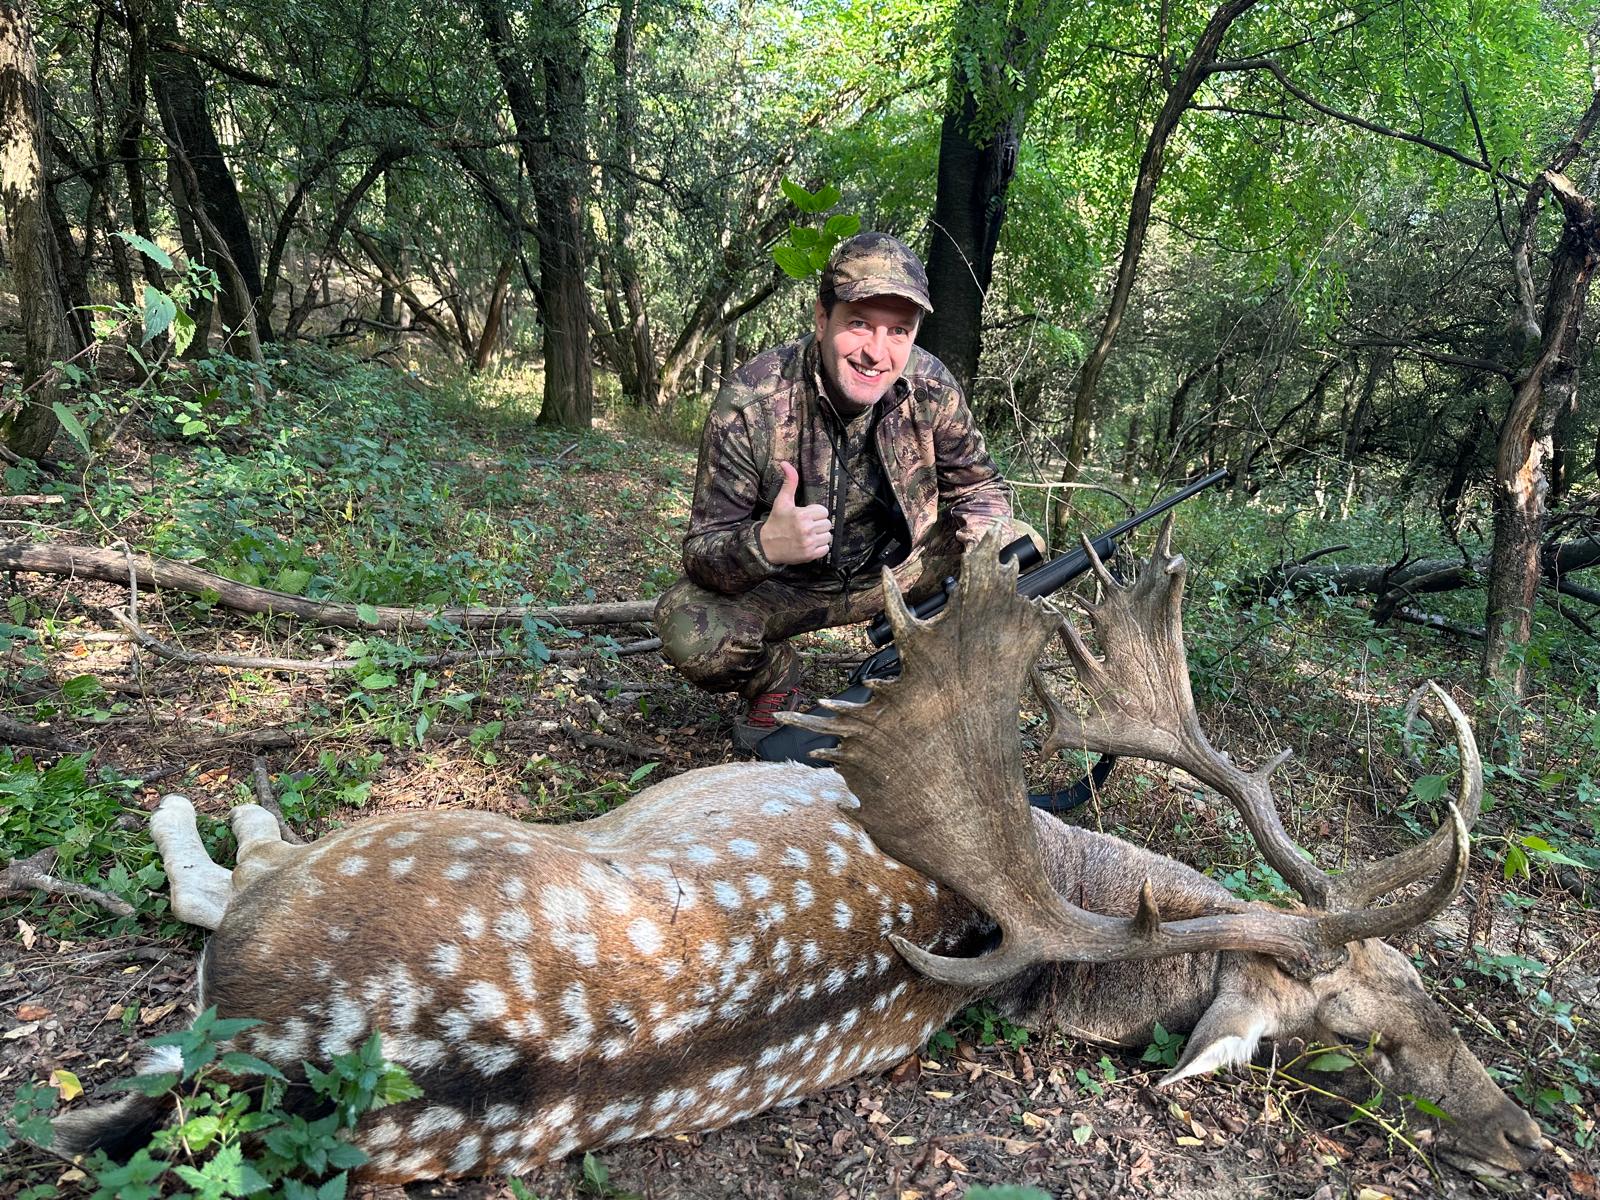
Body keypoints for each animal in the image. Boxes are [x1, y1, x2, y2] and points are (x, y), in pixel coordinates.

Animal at [53, 522, 1545, 1183]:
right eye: (1377, 1028)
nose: (1530, 1138)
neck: (1058, 874)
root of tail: (278, 1053)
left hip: (401, 841)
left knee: (224, 881)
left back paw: (201, 801)